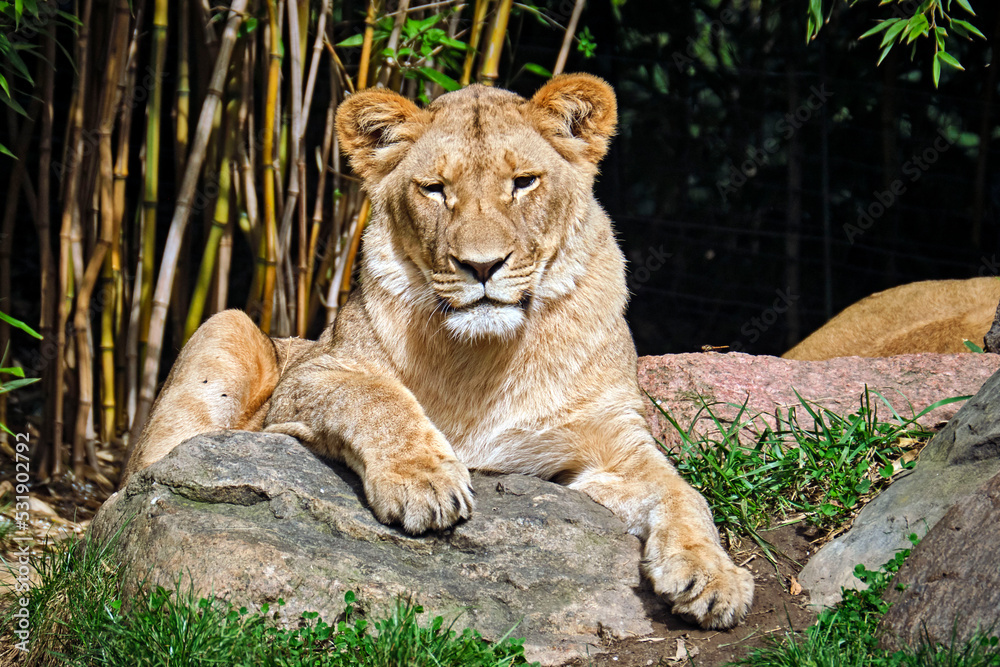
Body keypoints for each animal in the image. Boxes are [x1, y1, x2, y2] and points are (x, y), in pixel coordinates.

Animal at [122, 74, 754, 630]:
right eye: (435, 189)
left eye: (524, 182)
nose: (482, 265)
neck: (485, 355)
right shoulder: (314, 372)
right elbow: (378, 397)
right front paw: (423, 481)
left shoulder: (609, 441)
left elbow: (682, 492)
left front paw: (714, 577)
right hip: (226, 326)